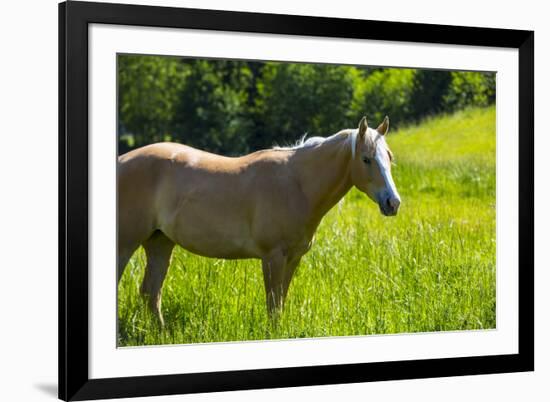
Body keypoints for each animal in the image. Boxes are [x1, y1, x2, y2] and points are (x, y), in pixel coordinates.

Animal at [117, 114, 402, 326]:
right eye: (366, 159)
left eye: (389, 156)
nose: (393, 202)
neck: (297, 185)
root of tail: (121, 161)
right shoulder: (273, 257)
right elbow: (273, 306)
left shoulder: (293, 258)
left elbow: (280, 303)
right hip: (125, 245)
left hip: (160, 243)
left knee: (150, 293)